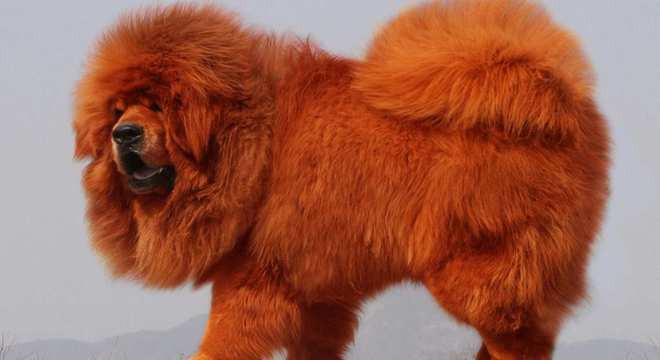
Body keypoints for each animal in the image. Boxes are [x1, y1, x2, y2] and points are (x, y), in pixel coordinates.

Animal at [72, 1, 608, 358]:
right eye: (117, 110)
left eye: (158, 106)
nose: (124, 134)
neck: (246, 137)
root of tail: (558, 96)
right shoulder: (316, 294)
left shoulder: (252, 280)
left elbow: (218, 343)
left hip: (477, 271)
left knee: (521, 338)